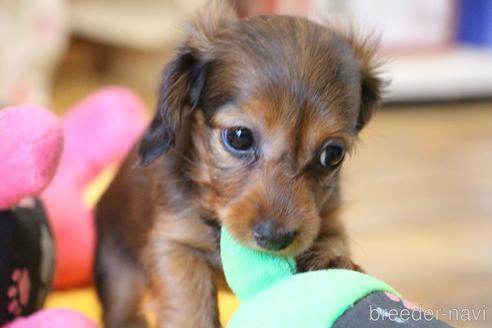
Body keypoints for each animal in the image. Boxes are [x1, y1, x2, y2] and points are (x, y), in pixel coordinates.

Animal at [94, 3, 382, 328]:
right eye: (240, 137)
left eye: (332, 154)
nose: (274, 238)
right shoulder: (174, 244)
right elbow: (190, 306)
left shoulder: (328, 220)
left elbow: (333, 239)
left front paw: (332, 261)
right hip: (120, 274)